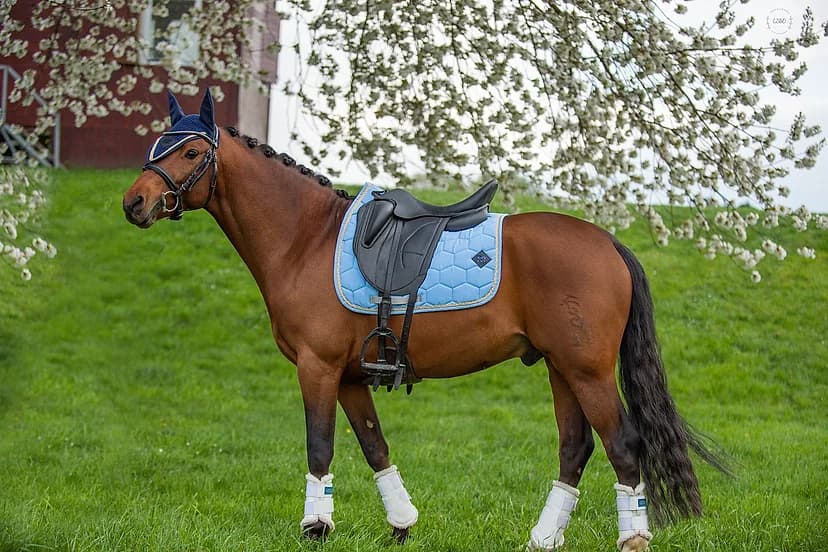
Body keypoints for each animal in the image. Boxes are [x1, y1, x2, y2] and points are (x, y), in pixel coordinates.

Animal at [123, 90, 727, 551]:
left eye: (191, 151)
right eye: (156, 147)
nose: (135, 202)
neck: (306, 240)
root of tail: (608, 242)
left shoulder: (317, 368)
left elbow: (320, 447)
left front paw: (316, 527)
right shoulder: (349, 376)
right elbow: (375, 446)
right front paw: (401, 524)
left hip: (587, 370)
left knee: (623, 444)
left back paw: (632, 537)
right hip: (562, 368)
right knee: (575, 447)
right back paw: (543, 537)